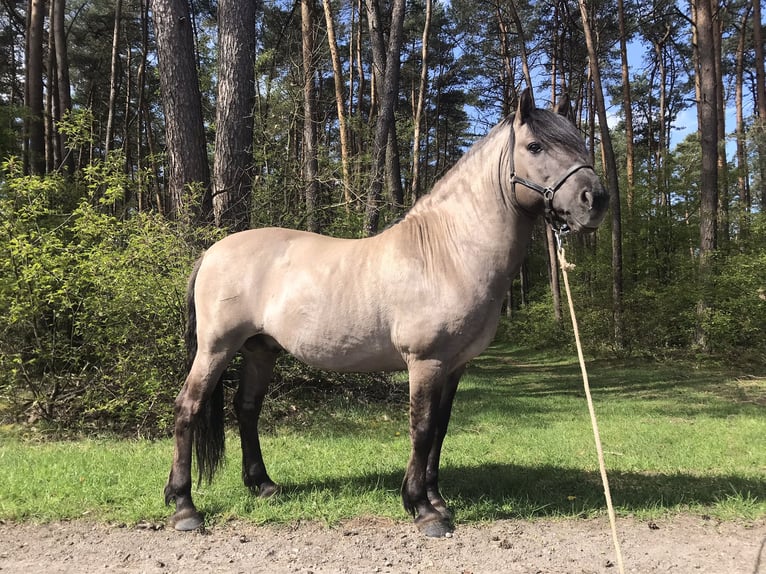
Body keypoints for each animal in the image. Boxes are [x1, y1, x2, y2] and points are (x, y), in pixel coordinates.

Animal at [163, 89, 609, 538]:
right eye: (535, 147)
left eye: (581, 142)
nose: (596, 200)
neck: (448, 254)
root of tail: (211, 252)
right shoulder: (425, 362)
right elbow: (421, 427)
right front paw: (423, 510)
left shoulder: (454, 366)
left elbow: (440, 429)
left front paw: (437, 500)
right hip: (217, 348)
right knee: (188, 407)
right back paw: (184, 507)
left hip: (260, 349)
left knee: (247, 408)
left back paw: (264, 486)